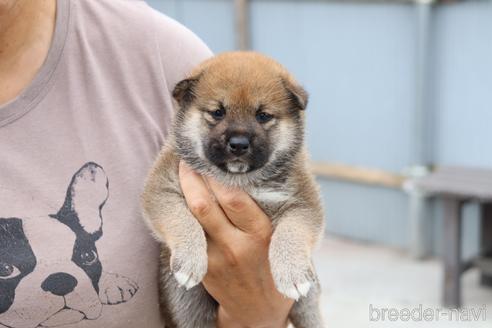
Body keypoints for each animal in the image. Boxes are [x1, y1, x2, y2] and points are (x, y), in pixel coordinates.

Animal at [142, 52, 324, 326]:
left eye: (262, 115)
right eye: (218, 112)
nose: (238, 144)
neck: (238, 179)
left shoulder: (303, 201)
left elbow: (291, 232)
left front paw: (292, 273)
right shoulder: (162, 186)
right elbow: (181, 219)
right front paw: (190, 259)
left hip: (309, 302)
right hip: (184, 305)